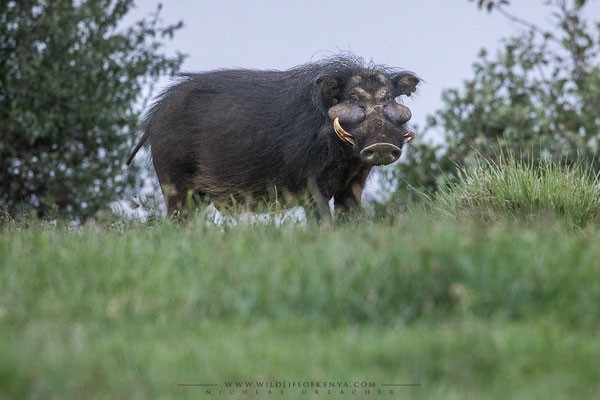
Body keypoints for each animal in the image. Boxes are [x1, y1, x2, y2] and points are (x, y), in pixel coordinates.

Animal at [125, 54, 422, 220]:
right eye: (352, 98)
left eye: (388, 98)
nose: (382, 143)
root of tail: (152, 119)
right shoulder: (313, 185)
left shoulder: (353, 184)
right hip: (175, 185)